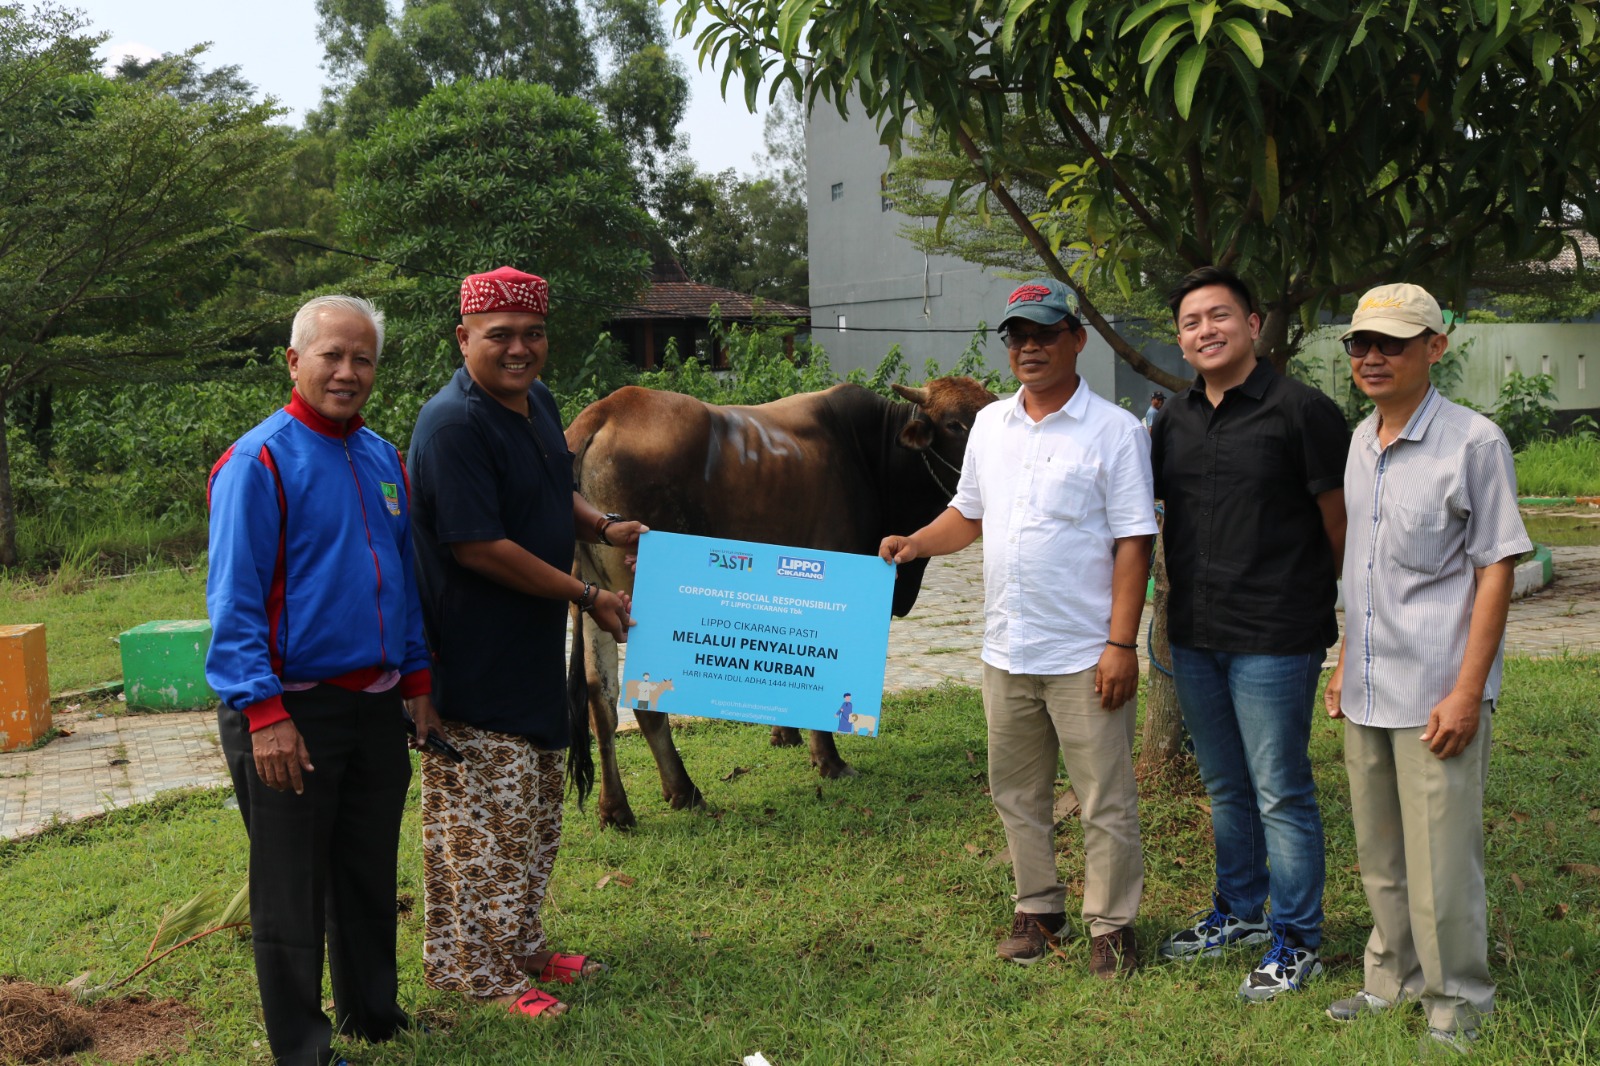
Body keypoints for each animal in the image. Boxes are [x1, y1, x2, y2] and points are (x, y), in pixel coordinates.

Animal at [563, 377, 985, 825]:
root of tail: (608, 409)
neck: (872, 453)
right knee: (643, 704)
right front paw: (829, 760)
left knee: (601, 700)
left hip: (596, 596)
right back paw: (683, 790)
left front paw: (784, 734)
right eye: (955, 424)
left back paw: (616, 808)